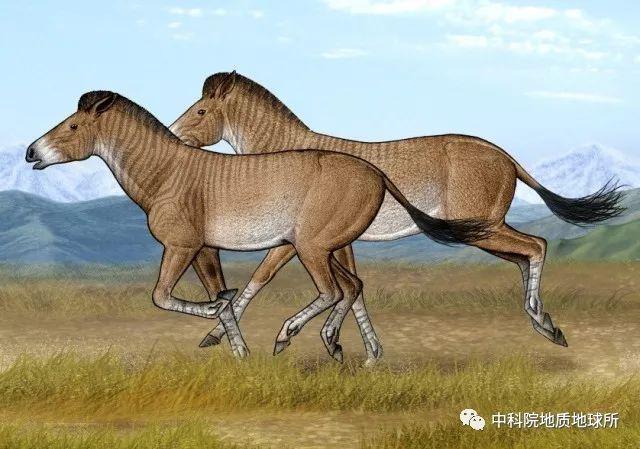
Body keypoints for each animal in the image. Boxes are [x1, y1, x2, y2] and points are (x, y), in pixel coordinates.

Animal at [26, 90, 490, 361]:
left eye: (73, 124)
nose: (32, 153)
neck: (168, 172)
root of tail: (376, 172)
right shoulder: (204, 250)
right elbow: (222, 300)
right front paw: (237, 349)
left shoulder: (179, 247)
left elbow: (162, 296)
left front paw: (221, 318)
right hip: (319, 248)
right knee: (351, 286)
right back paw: (340, 346)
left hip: (311, 248)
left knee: (333, 291)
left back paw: (290, 337)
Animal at [170, 71, 625, 363]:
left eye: (200, 111)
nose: (173, 137)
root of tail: (506, 156)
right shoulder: (336, 244)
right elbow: (353, 291)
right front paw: (362, 351)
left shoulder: (295, 241)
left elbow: (261, 278)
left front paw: (225, 337)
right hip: (484, 231)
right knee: (525, 256)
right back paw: (547, 325)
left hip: (481, 231)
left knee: (537, 246)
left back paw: (544, 324)